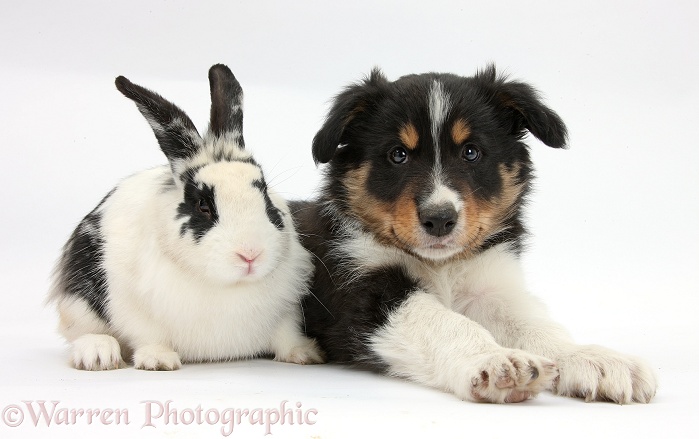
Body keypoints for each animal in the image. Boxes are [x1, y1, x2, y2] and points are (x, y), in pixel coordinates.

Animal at [49, 63, 326, 370]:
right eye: (203, 206)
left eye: (264, 194)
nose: (251, 255)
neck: (229, 285)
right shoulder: (134, 307)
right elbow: (148, 335)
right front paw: (158, 360)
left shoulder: (287, 310)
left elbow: (286, 335)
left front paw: (306, 354)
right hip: (78, 301)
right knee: (82, 332)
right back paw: (98, 355)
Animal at [292, 65, 660, 406]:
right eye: (398, 154)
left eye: (471, 152)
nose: (439, 219)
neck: (442, 266)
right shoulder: (363, 289)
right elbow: (440, 321)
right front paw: (497, 360)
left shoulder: (490, 289)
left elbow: (534, 325)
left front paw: (594, 358)